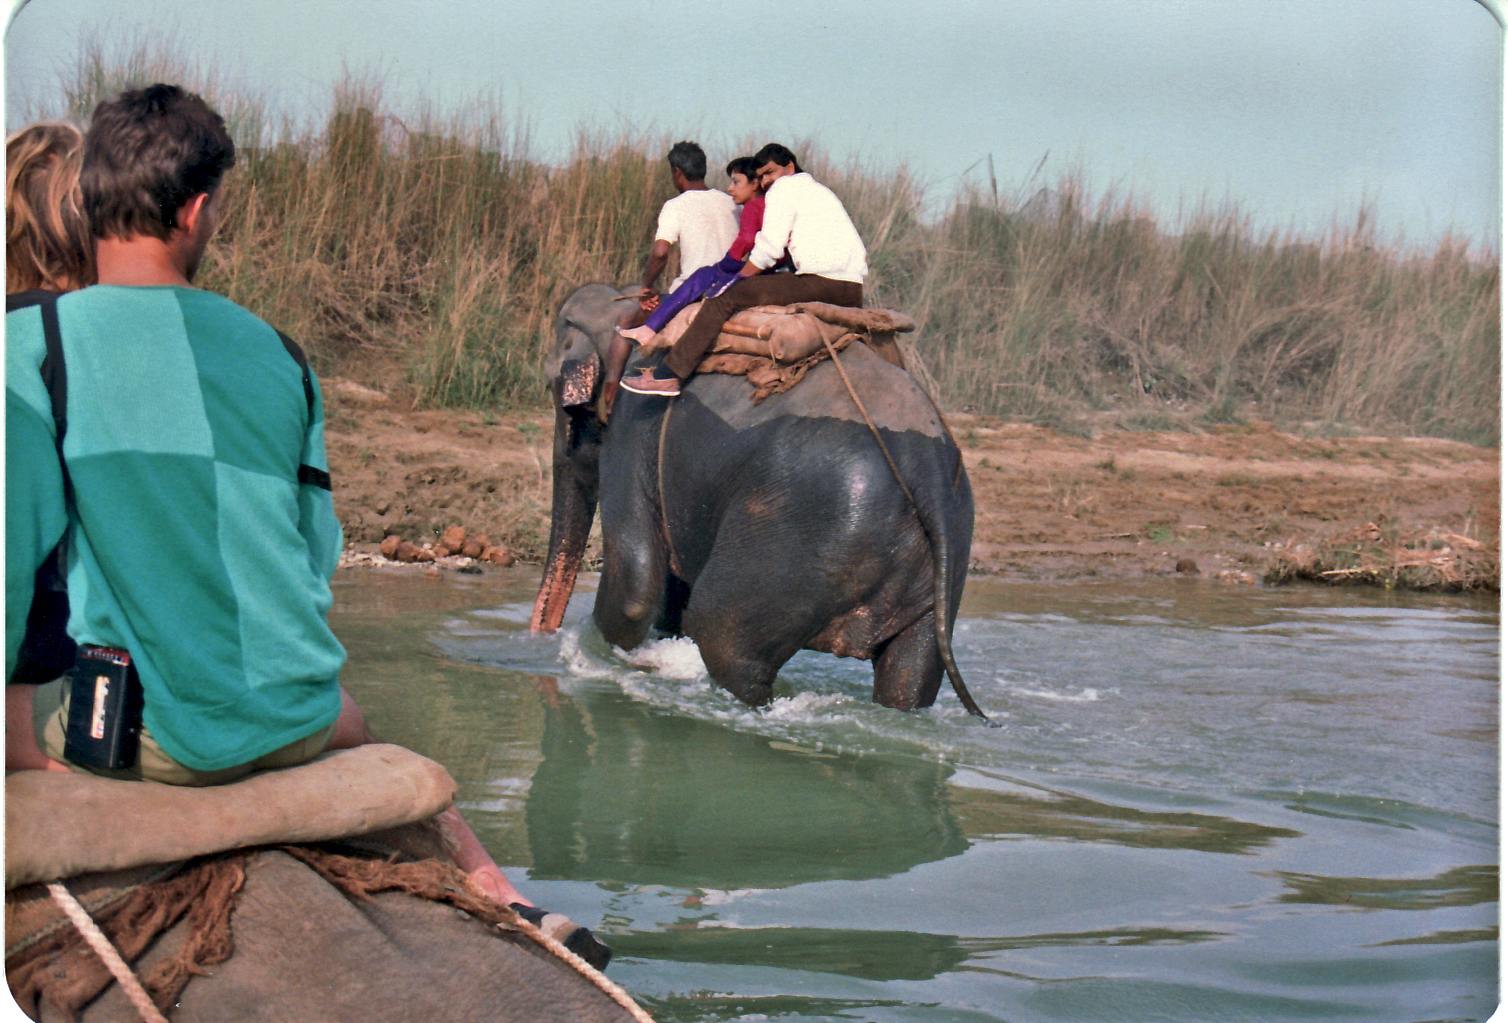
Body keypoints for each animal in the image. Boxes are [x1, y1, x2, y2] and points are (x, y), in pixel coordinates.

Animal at [533, 282, 989, 721]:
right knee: (911, 670)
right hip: (937, 560)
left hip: (799, 536)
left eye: (554, 390)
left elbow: (635, 585)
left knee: (722, 633)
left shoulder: (633, 426)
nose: (540, 636)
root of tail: (928, 469)